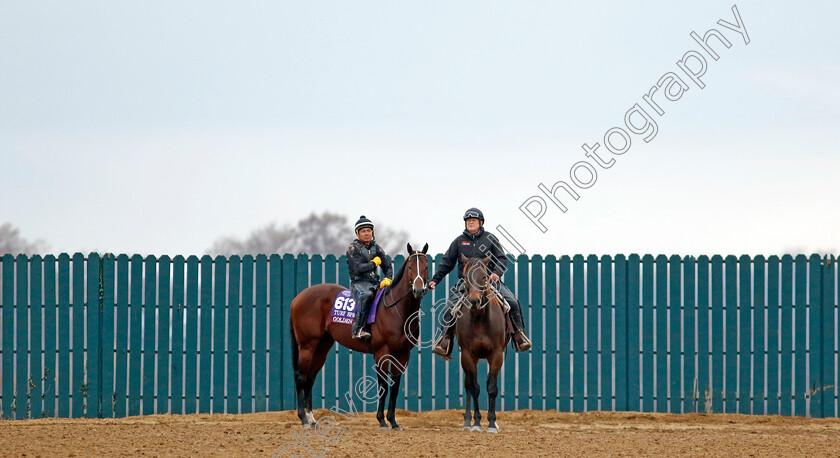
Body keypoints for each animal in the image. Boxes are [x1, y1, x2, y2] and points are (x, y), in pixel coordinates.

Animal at [292, 243, 430, 430]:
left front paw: (393, 422)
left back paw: (312, 419)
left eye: (426, 267)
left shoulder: (403, 355)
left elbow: (394, 387)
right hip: (307, 345)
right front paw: (382, 421)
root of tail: (298, 297)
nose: (418, 290)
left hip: (321, 347)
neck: (396, 310)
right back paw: (304, 419)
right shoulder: (381, 353)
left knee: (310, 377)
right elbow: (383, 386)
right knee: (301, 377)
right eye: (410, 267)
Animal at [456, 254, 508, 432]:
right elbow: (474, 388)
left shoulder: (497, 354)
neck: (479, 320)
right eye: (465, 277)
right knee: (468, 385)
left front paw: (492, 423)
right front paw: (477, 423)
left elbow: (491, 388)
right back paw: (467, 421)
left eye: (484, 277)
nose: (474, 301)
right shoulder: (467, 355)